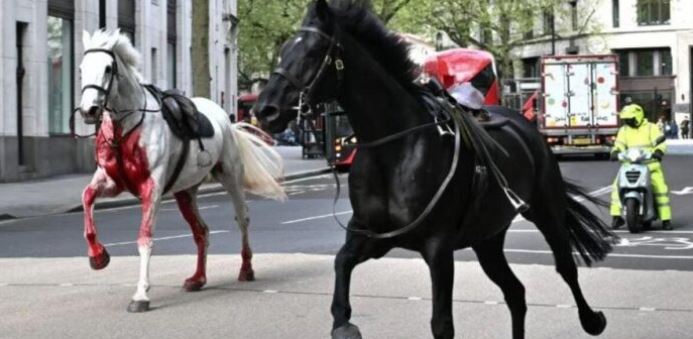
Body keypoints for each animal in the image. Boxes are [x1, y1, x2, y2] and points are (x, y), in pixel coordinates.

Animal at [79, 29, 286, 314]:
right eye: (81, 68)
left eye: (108, 68)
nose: (88, 110)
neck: (127, 127)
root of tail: (226, 119)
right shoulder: (111, 182)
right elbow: (87, 198)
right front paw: (98, 256)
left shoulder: (152, 188)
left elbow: (145, 239)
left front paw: (141, 295)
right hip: (185, 192)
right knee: (202, 231)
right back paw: (198, 278)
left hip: (230, 176)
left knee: (242, 218)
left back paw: (246, 269)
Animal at [254, 1, 612, 338]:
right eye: (283, 51)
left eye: (313, 52)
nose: (264, 110)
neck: (393, 151)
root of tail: (524, 124)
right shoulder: (372, 237)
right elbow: (341, 263)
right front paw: (343, 323)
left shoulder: (438, 248)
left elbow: (442, 324)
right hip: (487, 237)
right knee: (515, 292)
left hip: (546, 211)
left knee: (565, 267)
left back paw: (593, 319)